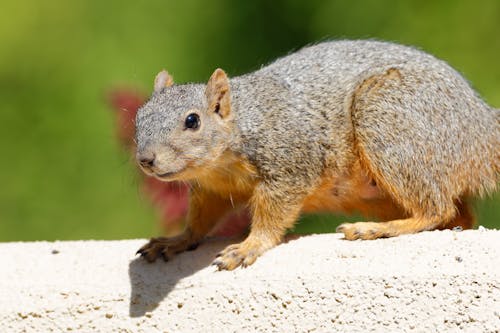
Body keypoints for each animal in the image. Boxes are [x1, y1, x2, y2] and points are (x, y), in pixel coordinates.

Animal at [135, 39, 498, 270]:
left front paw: (248, 246)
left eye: (192, 121)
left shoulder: (291, 166)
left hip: (387, 121)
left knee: (435, 208)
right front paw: (176, 240)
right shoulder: (212, 189)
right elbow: (200, 220)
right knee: (458, 215)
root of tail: (479, 127)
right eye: (139, 116)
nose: (145, 160)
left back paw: (377, 229)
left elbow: (273, 214)